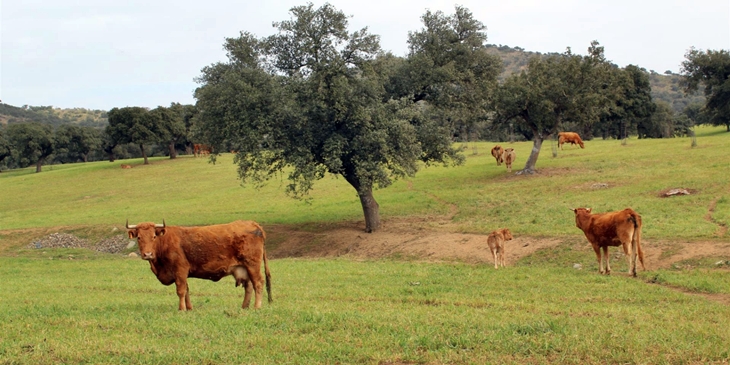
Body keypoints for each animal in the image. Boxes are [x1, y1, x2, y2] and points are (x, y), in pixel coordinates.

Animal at [126, 219, 272, 310]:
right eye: (139, 237)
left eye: (154, 237)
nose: (148, 254)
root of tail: (253, 223)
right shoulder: (182, 274)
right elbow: (186, 290)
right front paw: (189, 308)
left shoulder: (180, 270)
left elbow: (181, 291)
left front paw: (181, 309)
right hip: (244, 268)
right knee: (249, 286)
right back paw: (244, 307)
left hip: (252, 266)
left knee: (258, 283)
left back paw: (257, 307)